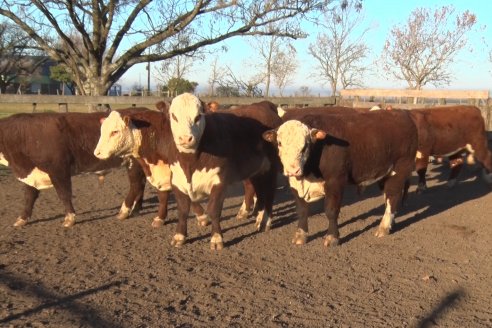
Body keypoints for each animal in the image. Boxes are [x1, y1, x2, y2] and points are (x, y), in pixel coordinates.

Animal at [0, 109, 150, 227]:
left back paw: (124, 211)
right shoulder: (31, 173)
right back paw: (137, 208)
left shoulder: (59, 170)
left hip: (134, 164)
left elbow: (64, 194)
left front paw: (70, 218)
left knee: (136, 185)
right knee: (141, 184)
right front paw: (22, 219)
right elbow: (29, 197)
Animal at [167, 93, 280, 250]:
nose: (185, 138)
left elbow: (214, 210)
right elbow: (183, 210)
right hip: (255, 169)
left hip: (272, 167)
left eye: (198, 116)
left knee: (269, 192)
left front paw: (216, 238)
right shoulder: (177, 182)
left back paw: (265, 221)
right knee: (257, 190)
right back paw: (254, 216)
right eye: (173, 116)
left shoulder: (219, 183)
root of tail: (263, 104)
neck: (190, 163)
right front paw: (179, 236)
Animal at [264, 109, 418, 247]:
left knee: (393, 196)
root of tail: (403, 114)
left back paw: (384, 228)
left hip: (399, 170)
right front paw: (300, 236)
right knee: (388, 198)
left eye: (305, 145)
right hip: (385, 173)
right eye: (279, 143)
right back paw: (391, 222)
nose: (293, 170)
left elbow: (331, 211)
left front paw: (332, 238)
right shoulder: (295, 185)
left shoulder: (335, 181)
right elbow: (302, 210)